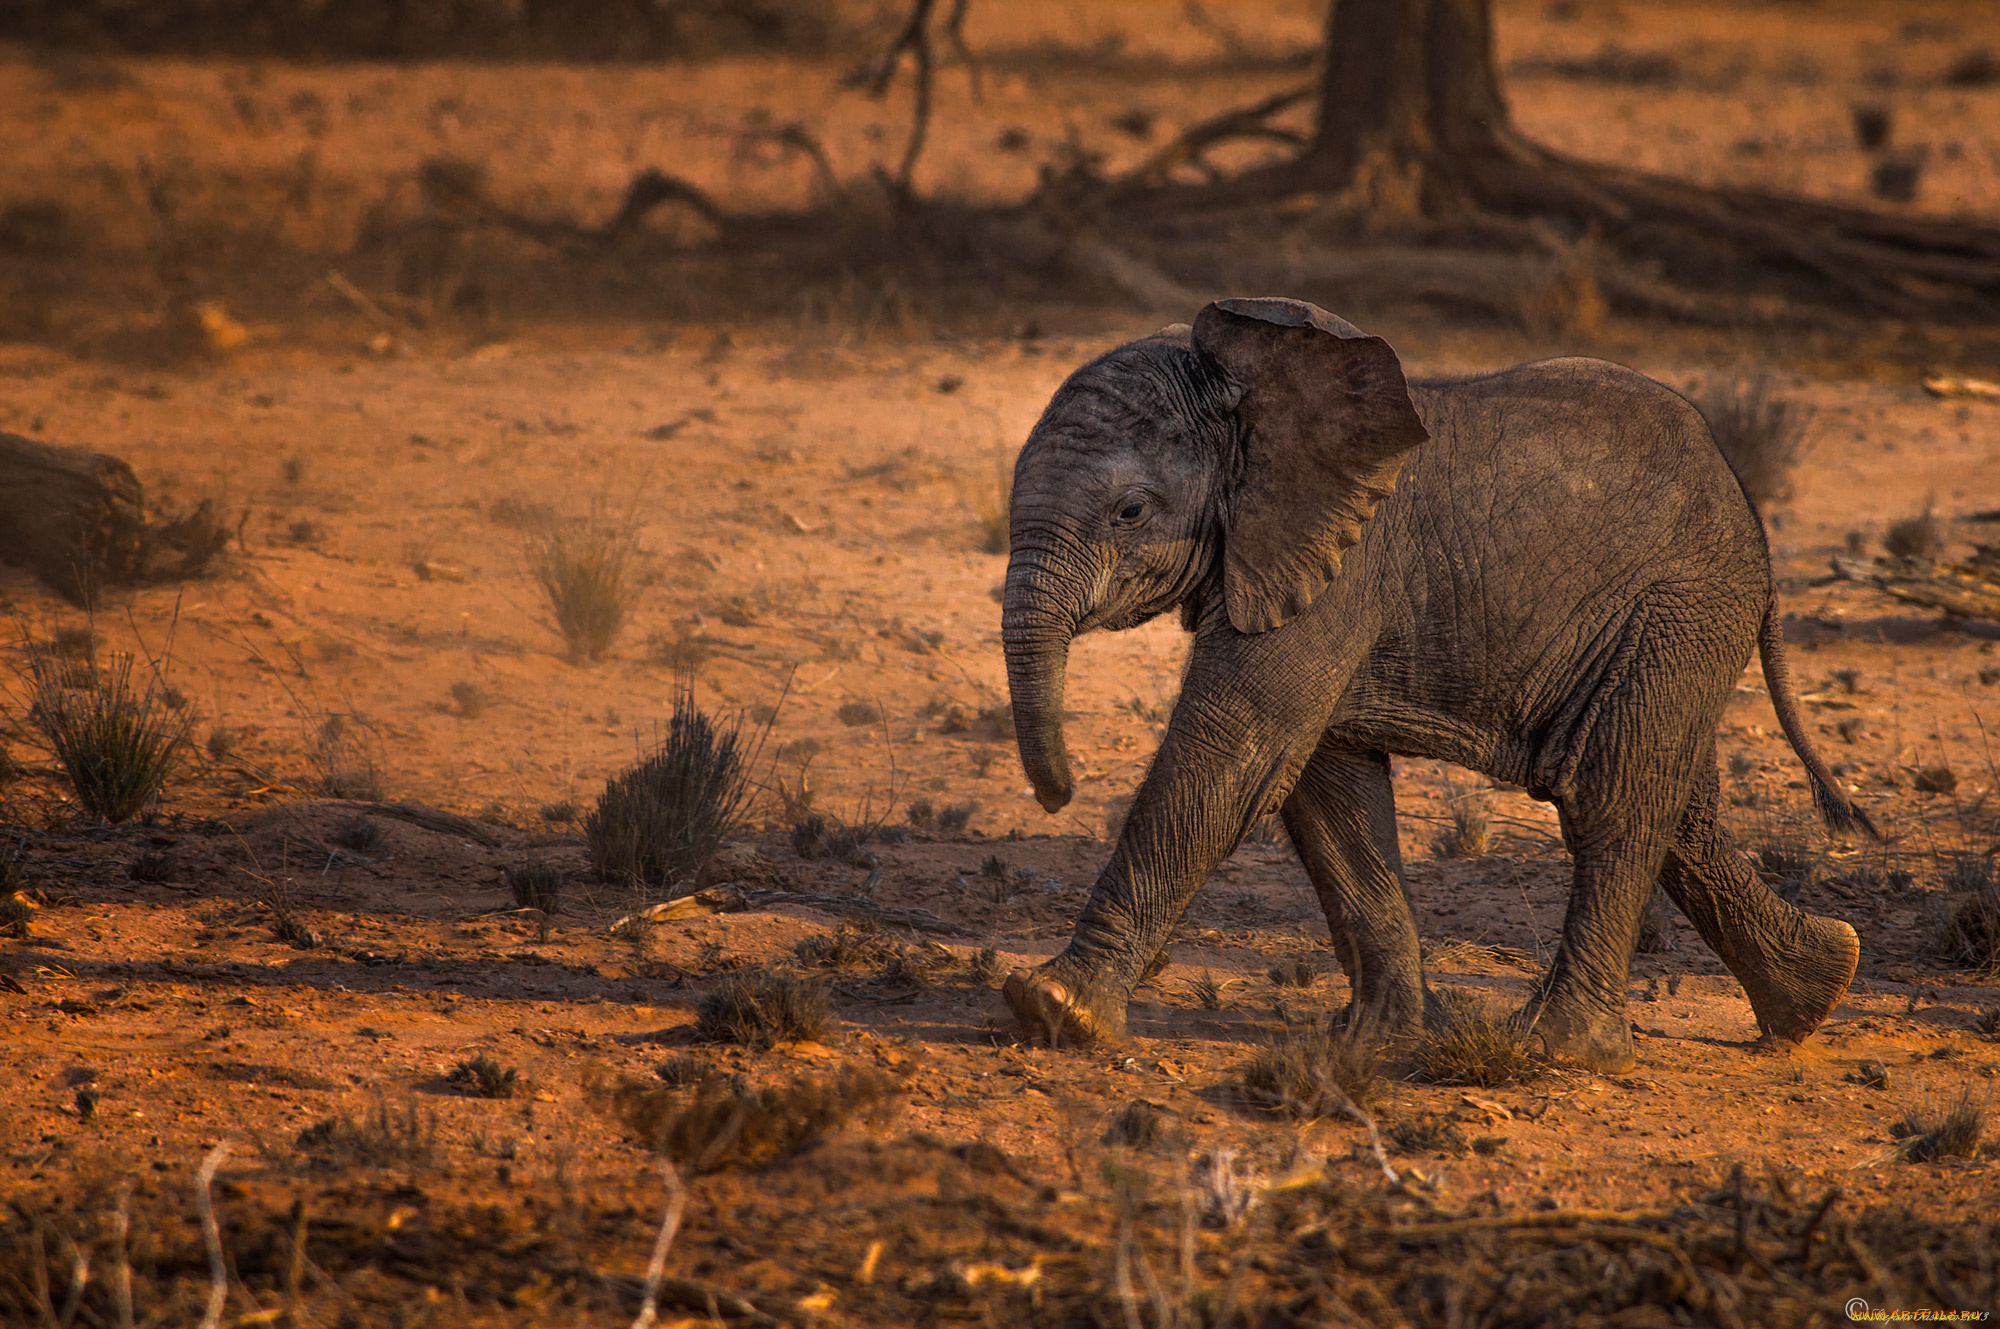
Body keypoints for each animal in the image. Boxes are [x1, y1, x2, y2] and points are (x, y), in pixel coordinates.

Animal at [1008, 298, 1864, 1072]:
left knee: (1610, 793)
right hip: (1671, 630)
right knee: (1678, 803)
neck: (1249, 382)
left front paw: (1055, 1008)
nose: (1061, 792)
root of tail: (1753, 520)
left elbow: (1233, 757)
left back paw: (1558, 1048)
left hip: (1679, 609)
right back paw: (1818, 989)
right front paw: (1378, 1040)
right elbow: (1327, 790)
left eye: (1129, 511)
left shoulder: (1343, 570)